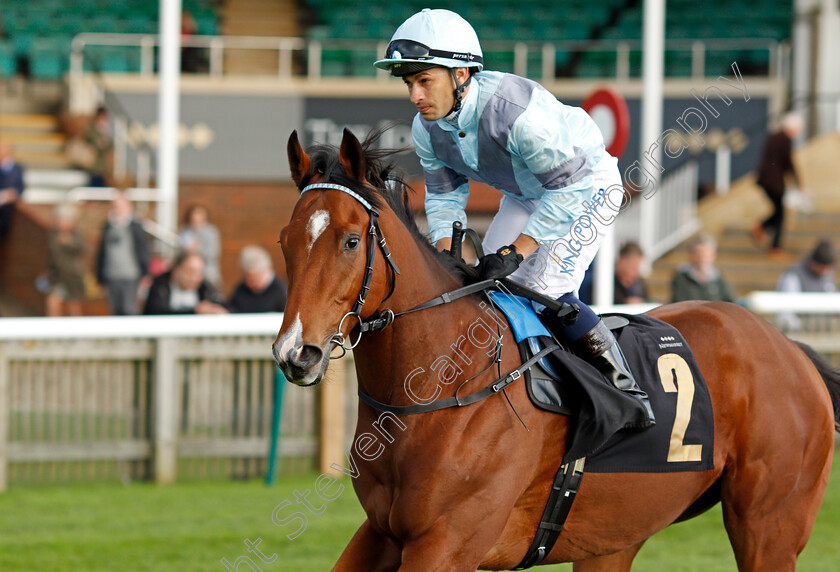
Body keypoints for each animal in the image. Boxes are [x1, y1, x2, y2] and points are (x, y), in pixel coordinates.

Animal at [272, 130, 836, 572]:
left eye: (350, 241)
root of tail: (789, 348)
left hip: (769, 525)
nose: (297, 353)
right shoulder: (382, 532)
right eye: (284, 240)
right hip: (616, 536)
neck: (441, 387)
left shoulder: (447, 542)